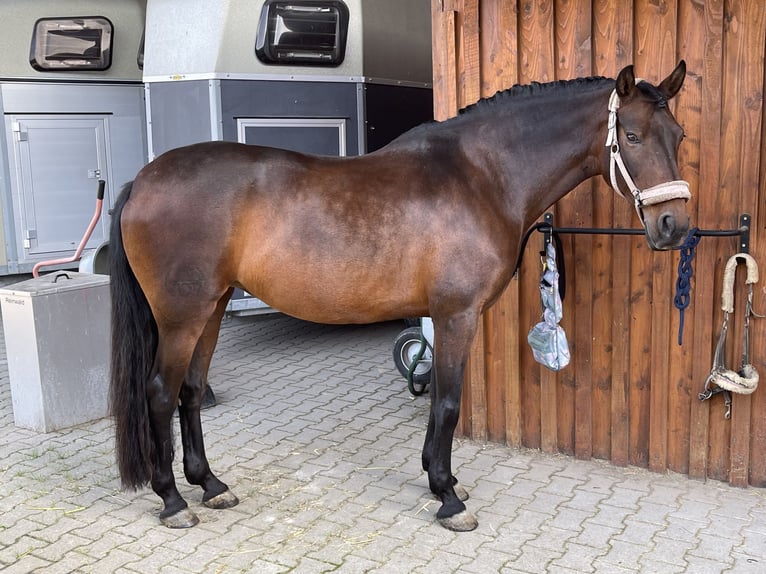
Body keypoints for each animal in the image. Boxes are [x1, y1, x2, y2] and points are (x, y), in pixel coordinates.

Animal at [111, 60, 692, 532]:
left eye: (680, 135)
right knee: (160, 392)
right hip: (182, 316)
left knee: (190, 392)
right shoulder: (456, 315)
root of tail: (143, 180)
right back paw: (172, 501)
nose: (674, 226)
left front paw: (443, 481)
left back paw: (210, 486)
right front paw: (448, 500)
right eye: (632, 136)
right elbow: (450, 403)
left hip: (210, 310)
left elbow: (436, 399)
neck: (481, 176)